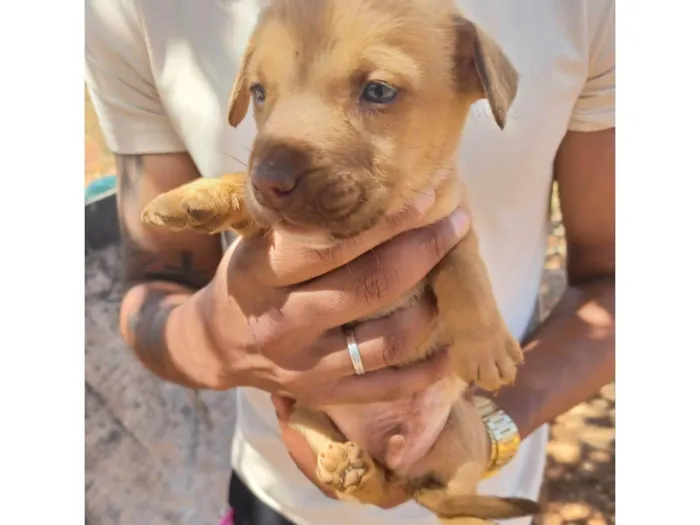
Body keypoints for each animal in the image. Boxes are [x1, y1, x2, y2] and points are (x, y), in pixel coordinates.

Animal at [145, 0, 540, 520]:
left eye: (378, 91)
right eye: (259, 93)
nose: (269, 180)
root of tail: (401, 466)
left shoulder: (449, 219)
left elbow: (463, 264)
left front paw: (485, 343)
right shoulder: (267, 225)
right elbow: (239, 190)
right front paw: (196, 196)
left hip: (463, 432)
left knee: (447, 501)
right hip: (307, 408)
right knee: (375, 483)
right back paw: (350, 466)